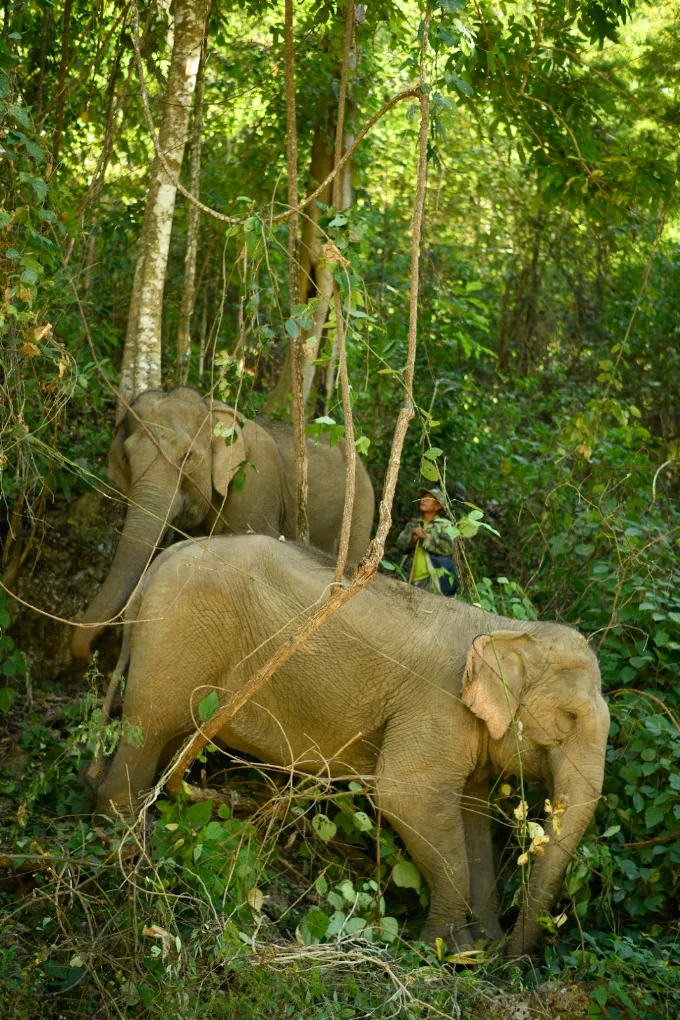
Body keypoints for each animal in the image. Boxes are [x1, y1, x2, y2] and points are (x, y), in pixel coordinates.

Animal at [71, 387, 374, 662]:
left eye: (187, 457)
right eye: (125, 459)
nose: (87, 655)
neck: (211, 408)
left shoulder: (255, 481)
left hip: (362, 507)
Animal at [97, 534, 610, 959]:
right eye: (570, 718)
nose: (512, 960)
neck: (509, 628)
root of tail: (161, 559)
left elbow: (473, 820)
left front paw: (479, 951)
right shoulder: (435, 707)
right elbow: (405, 796)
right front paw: (449, 954)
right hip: (176, 637)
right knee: (147, 731)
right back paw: (125, 850)